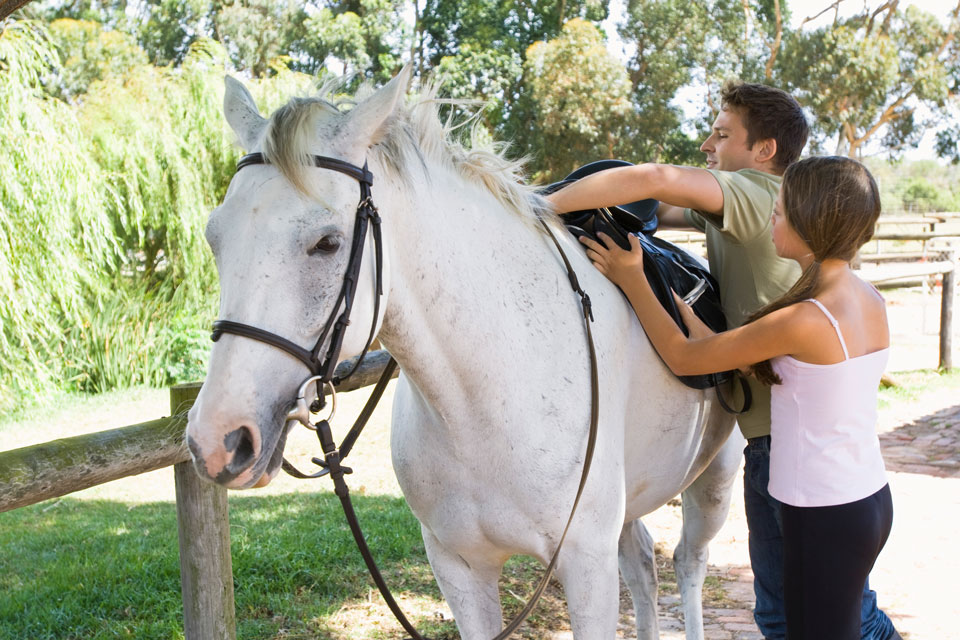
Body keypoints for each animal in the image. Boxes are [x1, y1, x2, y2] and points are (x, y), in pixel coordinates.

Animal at [186, 66, 744, 640]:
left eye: (327, 243)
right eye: (214, 238)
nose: (218, 439)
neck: (486, 397)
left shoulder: (586, 565)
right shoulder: (458, 566)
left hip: (715, 480)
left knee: (687, 563)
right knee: (642, 564)